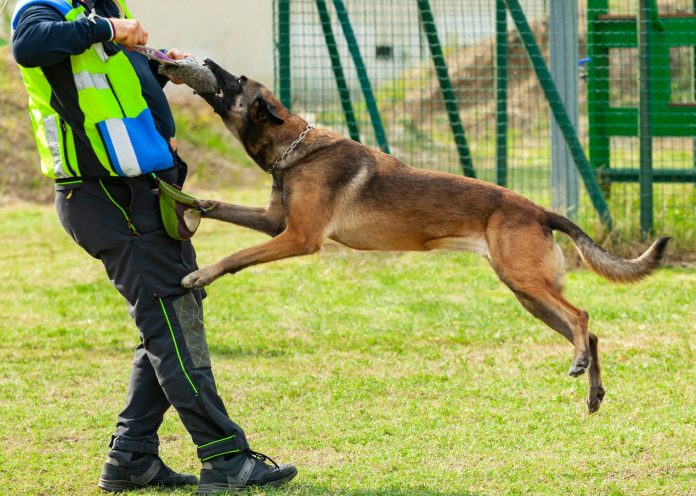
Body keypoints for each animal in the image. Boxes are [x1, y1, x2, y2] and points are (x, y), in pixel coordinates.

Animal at [185, 59, 668, 414]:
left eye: (236, 80)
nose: (205, 61)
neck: (295, 146)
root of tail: (540, 210)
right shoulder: (274, 223)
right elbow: (223, 210)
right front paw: (190, 204)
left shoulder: (299, 237)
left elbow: (238, 254)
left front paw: (200, 275)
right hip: (527, 294)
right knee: (589, 333)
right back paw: (593, 390)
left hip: (527, 283)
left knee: (582, 316)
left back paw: (581, 363)